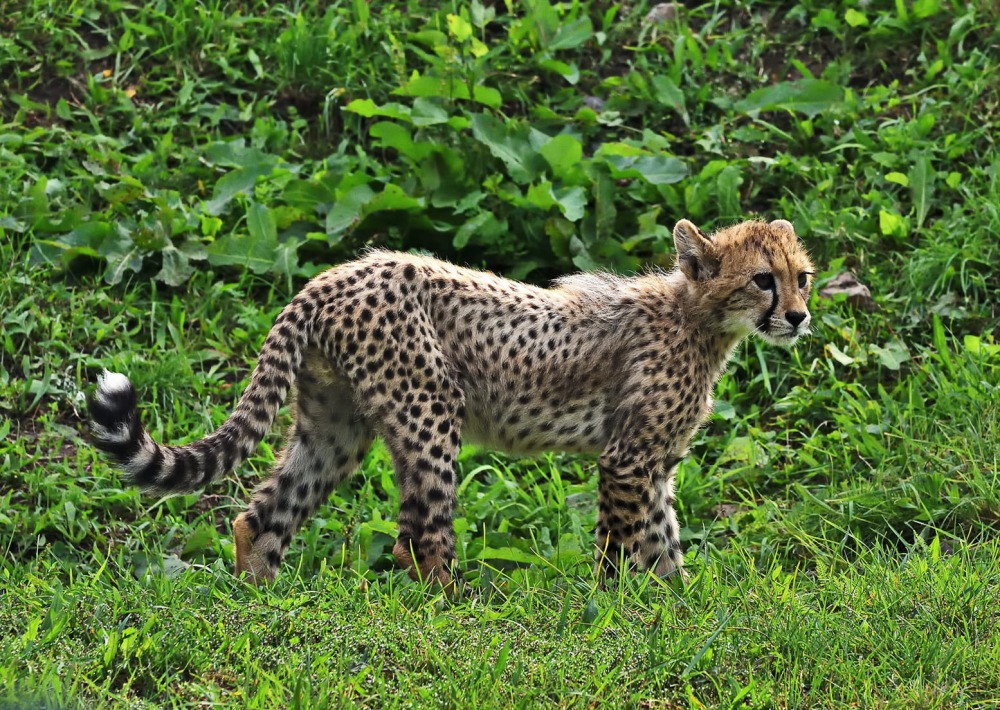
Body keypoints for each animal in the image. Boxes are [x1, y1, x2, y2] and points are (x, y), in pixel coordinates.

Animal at [89, 217, 814, 588]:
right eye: (763, 280)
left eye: (802, 277)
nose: (800, 317)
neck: (699, 319)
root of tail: (334, 274)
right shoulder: (628, 460)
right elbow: (621, 544)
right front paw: (613, 610)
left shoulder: (653, 465)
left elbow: (664, 542)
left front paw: (675, 609)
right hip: (429, 410)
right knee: (418, 537)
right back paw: (453, 607)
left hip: (336, 426)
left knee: (263, 513)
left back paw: (259, 597)